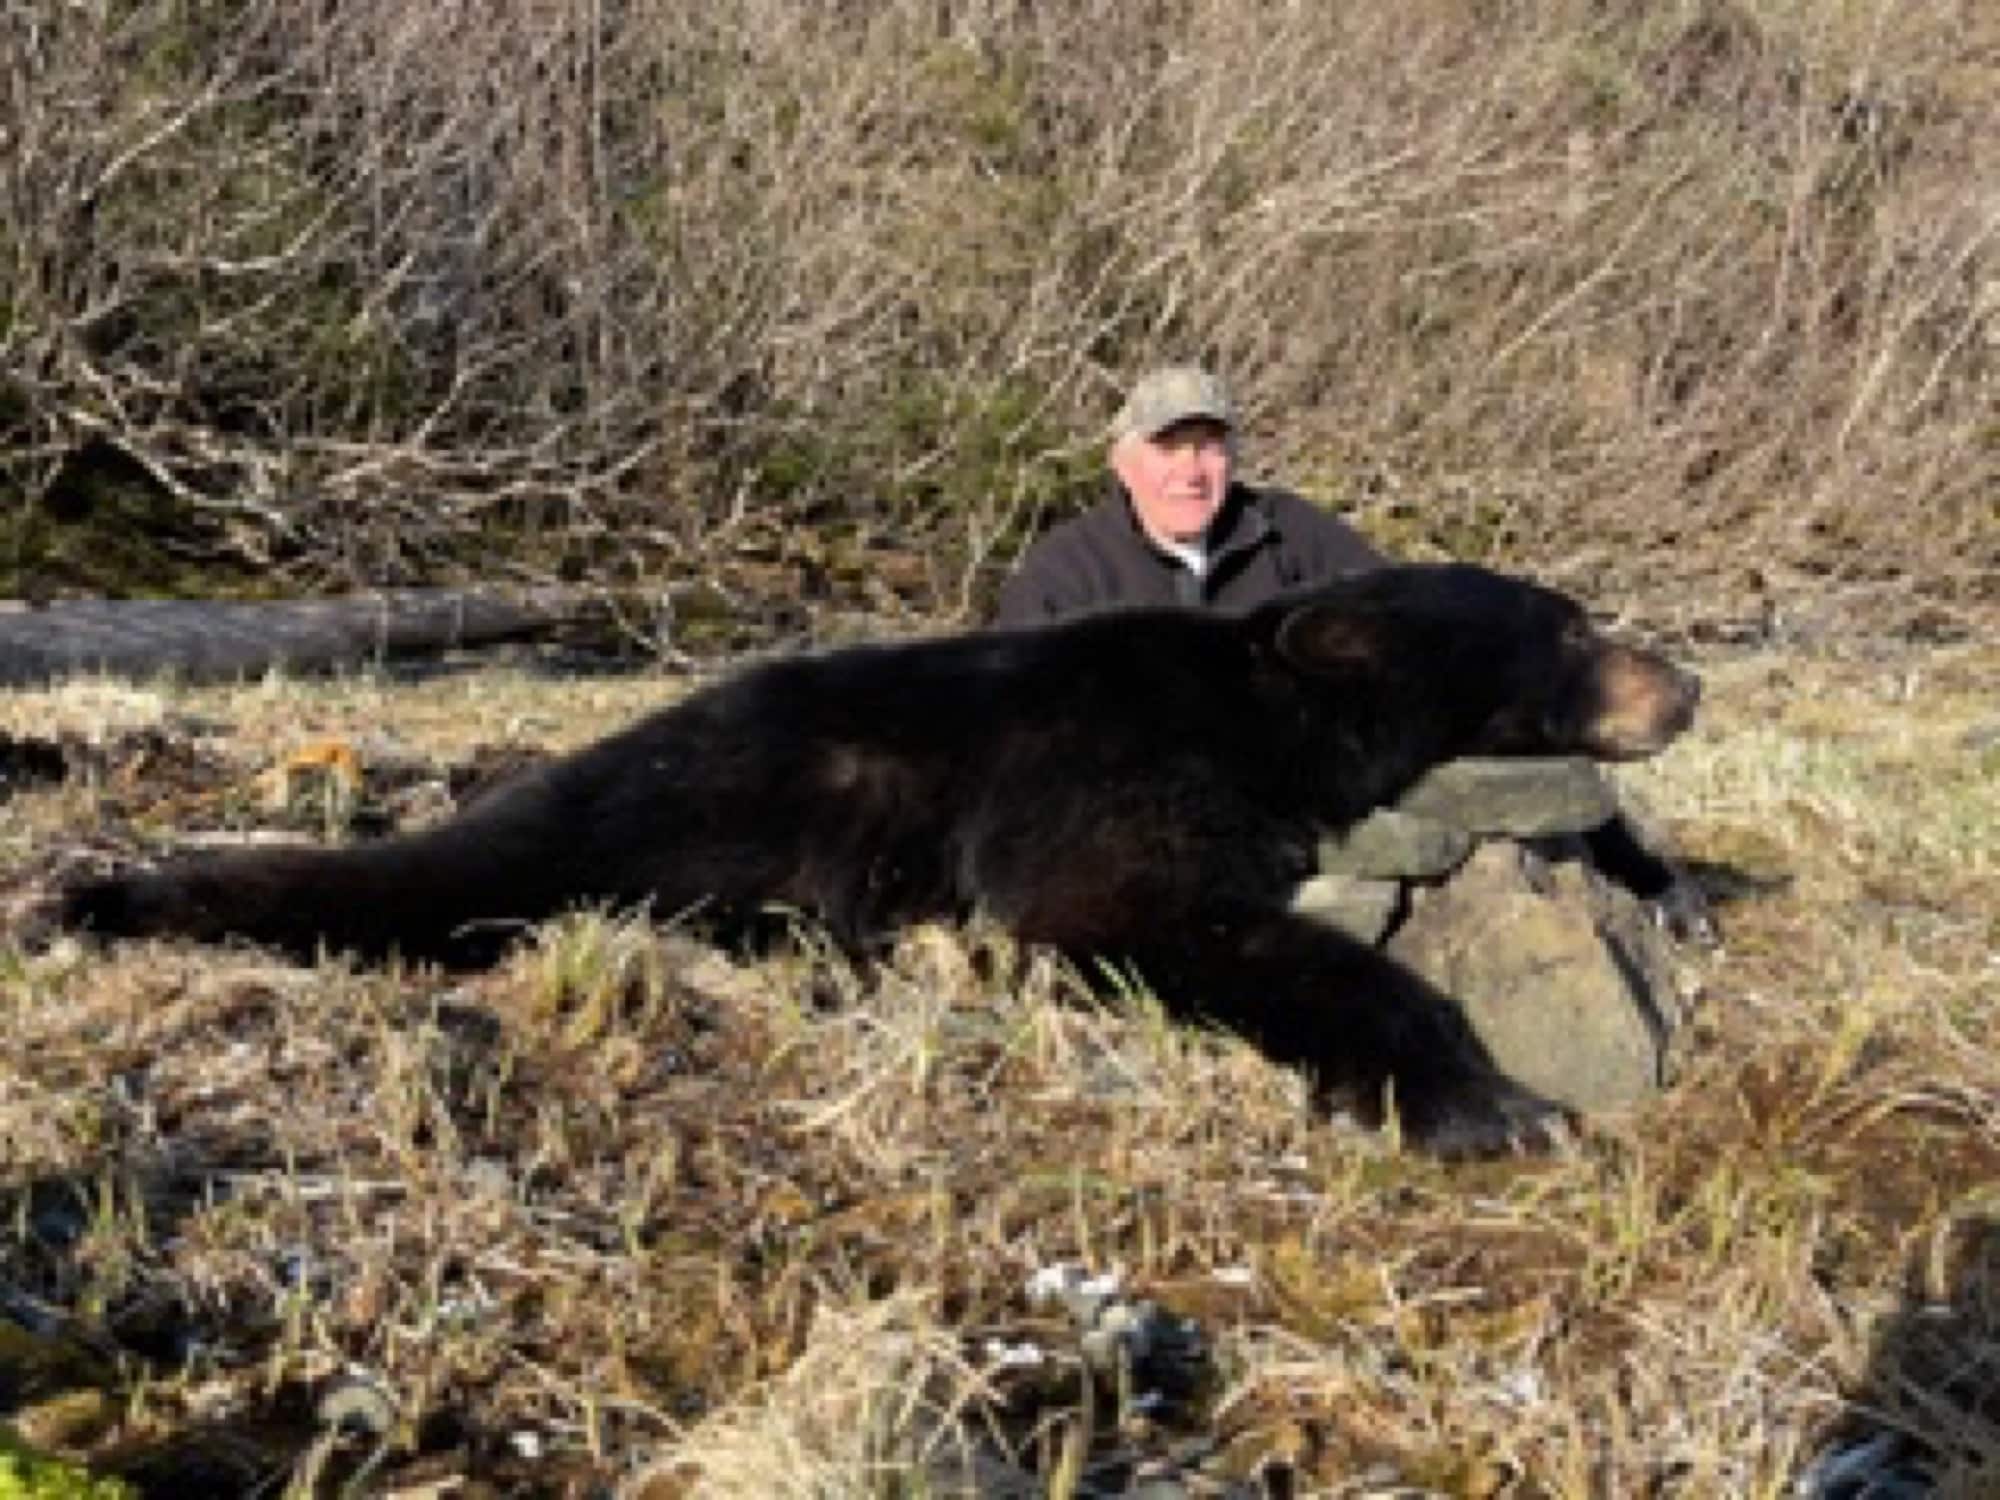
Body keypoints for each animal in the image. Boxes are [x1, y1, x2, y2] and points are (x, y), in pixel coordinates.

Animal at [51, 564, 1699, 1157]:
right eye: (1570, 625)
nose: (1684, 682)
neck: (1264, 701)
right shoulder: (1102, 762)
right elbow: (1124, 902)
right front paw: (1492, 1104)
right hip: (702, 790)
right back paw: (109, 891)